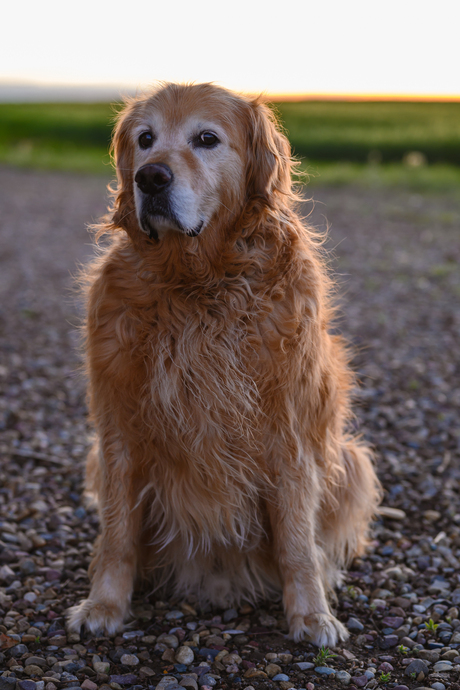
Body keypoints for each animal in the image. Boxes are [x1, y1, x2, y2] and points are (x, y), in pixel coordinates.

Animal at [65, 82, 380, 644]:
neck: (198, 284)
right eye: (145, 139)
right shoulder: (118, 427)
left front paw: (311, 614)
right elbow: (118, 533)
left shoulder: (289, 431)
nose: (150, 177)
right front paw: (103, 605)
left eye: (206, 139)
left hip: (352, 458)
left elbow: (297, 540)